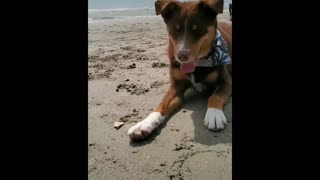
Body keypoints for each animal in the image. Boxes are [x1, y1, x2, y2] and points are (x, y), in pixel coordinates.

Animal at [128, 0, 232, 141]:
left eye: (198, 30)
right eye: (175, 30)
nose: (182, 56)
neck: (200, 64)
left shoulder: (226, 82)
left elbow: (215, 96)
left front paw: (214, 114)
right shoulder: (176, 86)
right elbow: (162, 104)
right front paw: (145, 123)